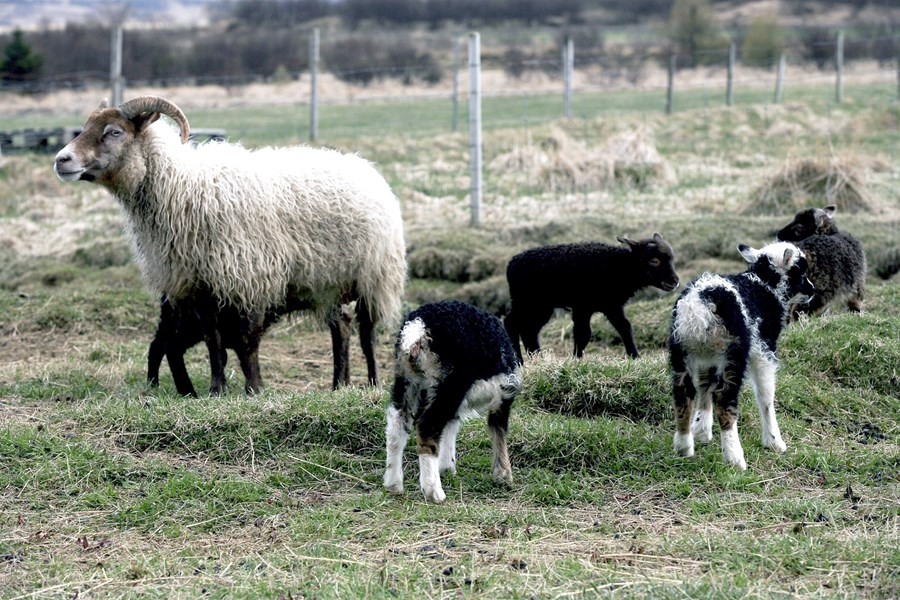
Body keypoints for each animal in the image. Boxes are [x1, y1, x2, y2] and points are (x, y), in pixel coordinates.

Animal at [384, 298, 524, 502]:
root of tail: (418, 328)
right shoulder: (503, 396)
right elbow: (499, 431)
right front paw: (503, 475)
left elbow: (450, 429)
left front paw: (446, 468)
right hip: (450, 383)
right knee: (427, 427)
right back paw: (434, 492)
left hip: (407, 380)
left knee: (396, 425)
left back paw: (393, 484)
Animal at [502, 232, 680, 358]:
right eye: (654, 260)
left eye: (672, 258)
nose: (675, 281)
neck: (621, 267)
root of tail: (511, 264)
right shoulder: (583, 306)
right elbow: (583, 334)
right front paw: (576, 359)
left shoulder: (611, 305)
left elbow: (624, 327)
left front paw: (635, 357)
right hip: (525, 301)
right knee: (511, 323)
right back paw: (519, 361)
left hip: (541, 307)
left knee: (529, 331)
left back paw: (537, 359)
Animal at [668, 241, 816, 472]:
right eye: (799, 271)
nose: (812, 291)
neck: (764, 286)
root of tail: (699, 308)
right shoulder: (763, 349)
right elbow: (765, 395)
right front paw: (774, 441)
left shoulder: (708, 358)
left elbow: (705, 385)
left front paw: (701, 430)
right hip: (734, 353)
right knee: (724, 400)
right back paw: (734, 457)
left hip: (682, 350)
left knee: (683, 394)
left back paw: (683, 447)